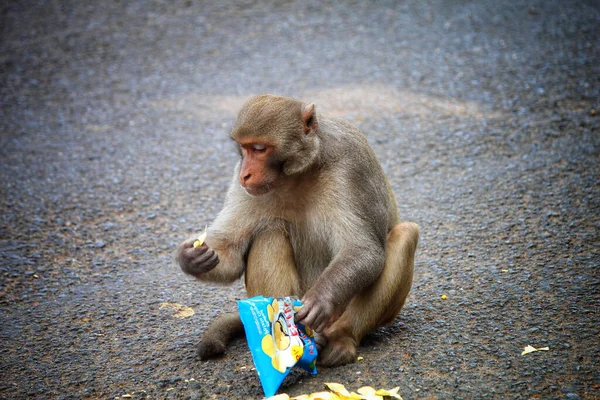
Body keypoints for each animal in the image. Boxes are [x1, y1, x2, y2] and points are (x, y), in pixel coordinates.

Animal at [178, 94, 420, 366]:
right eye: (244, 148)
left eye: (259, 148)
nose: (245, 174)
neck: (299, 173)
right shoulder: (244, 184)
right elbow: (230, 252)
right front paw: (191, 258)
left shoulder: (351, 165)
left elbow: (363, 250)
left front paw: (321, 299)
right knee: (269, 233)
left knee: (406, 235)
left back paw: (342, 339)